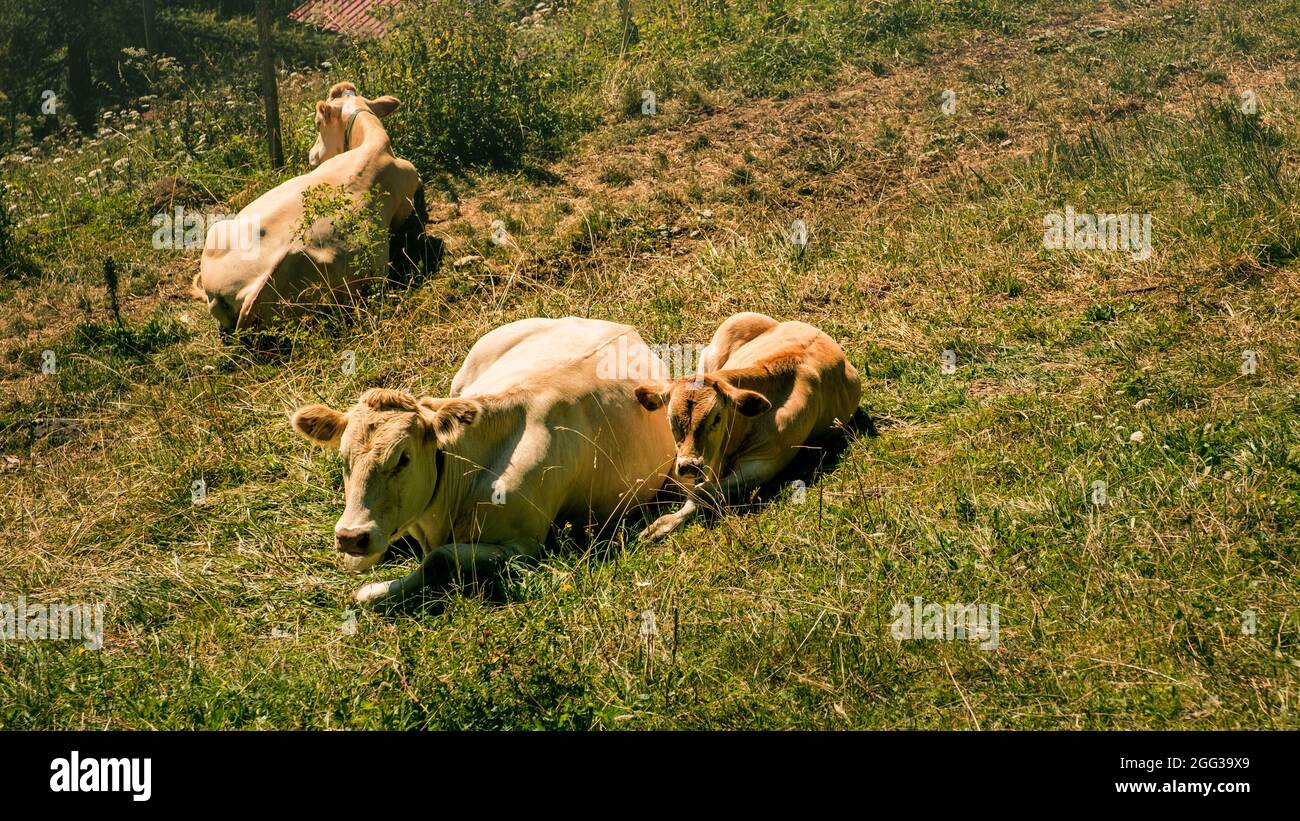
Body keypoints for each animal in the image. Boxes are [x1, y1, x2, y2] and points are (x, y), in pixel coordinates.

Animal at [291, 317, 676, 605]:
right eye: (343, 459)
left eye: (403, 458)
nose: (351, 535)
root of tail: (623, 327)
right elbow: (357, 560)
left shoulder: (524, 545)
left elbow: (438, 558)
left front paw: (371, 592)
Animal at [632, 312, 862, 541]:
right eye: (670, 418)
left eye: (717, 418)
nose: (689, 465)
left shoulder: (763, 464)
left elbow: (702, 490)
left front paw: (665, 523)